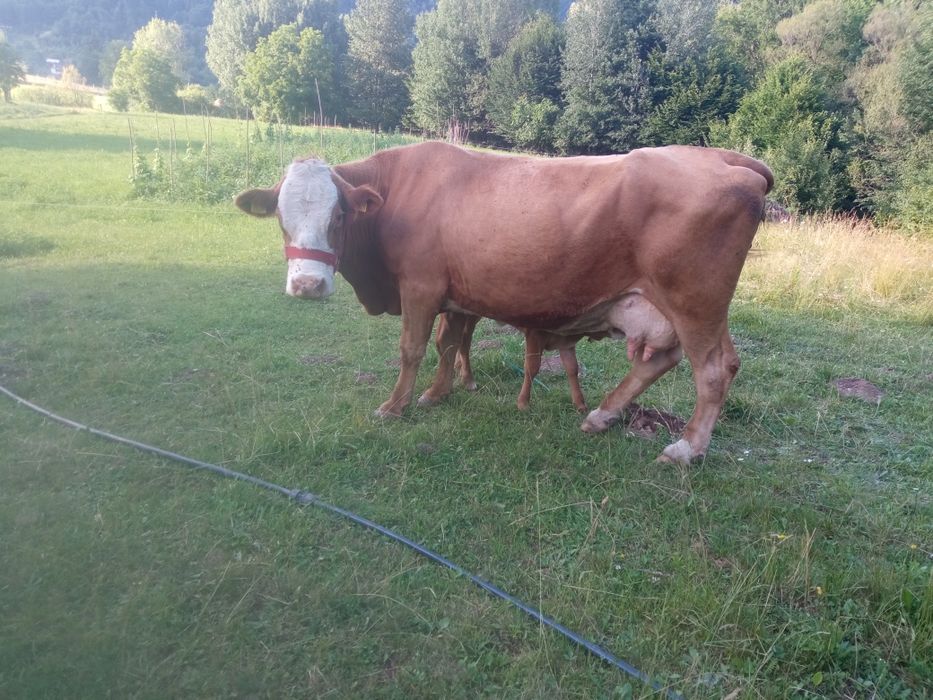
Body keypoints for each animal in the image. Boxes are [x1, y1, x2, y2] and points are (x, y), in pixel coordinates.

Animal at [235, 142, 773, 463]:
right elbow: (448, 344)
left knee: (714, 369)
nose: (307, 285)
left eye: (339, 215)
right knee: (667, 358)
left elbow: (413, 349)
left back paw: (686, 448)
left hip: (695, 300)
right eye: (281, 216)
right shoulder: (456, 295)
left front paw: (396, 405)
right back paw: (602, 415)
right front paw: (438, 393)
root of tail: (722, 157)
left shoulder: (420, 286)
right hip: (675, 305)